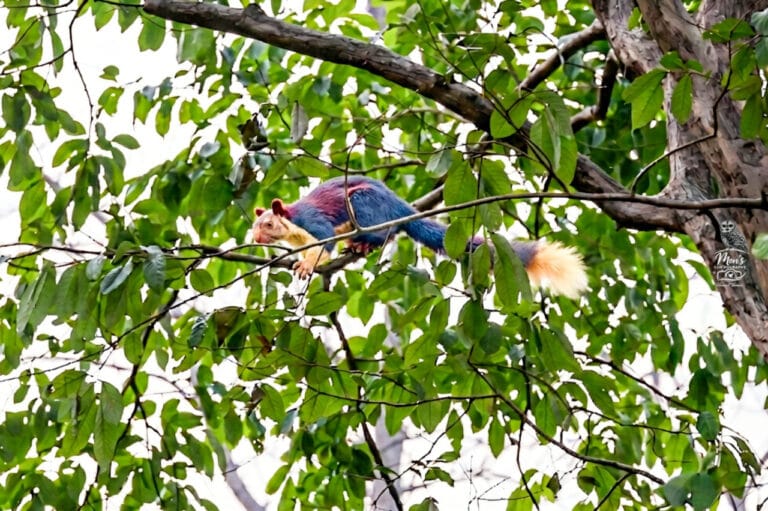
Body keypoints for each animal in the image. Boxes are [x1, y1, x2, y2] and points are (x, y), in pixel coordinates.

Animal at [252, 176, 587, 297]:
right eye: (254, 226)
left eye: (268, 224)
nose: (255, 239)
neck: (293, 225)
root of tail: (399, 206)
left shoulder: (314, 222)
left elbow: (324, 243)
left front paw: (306, 266)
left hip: (363, 204)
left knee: (385, 233)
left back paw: (362, 242)